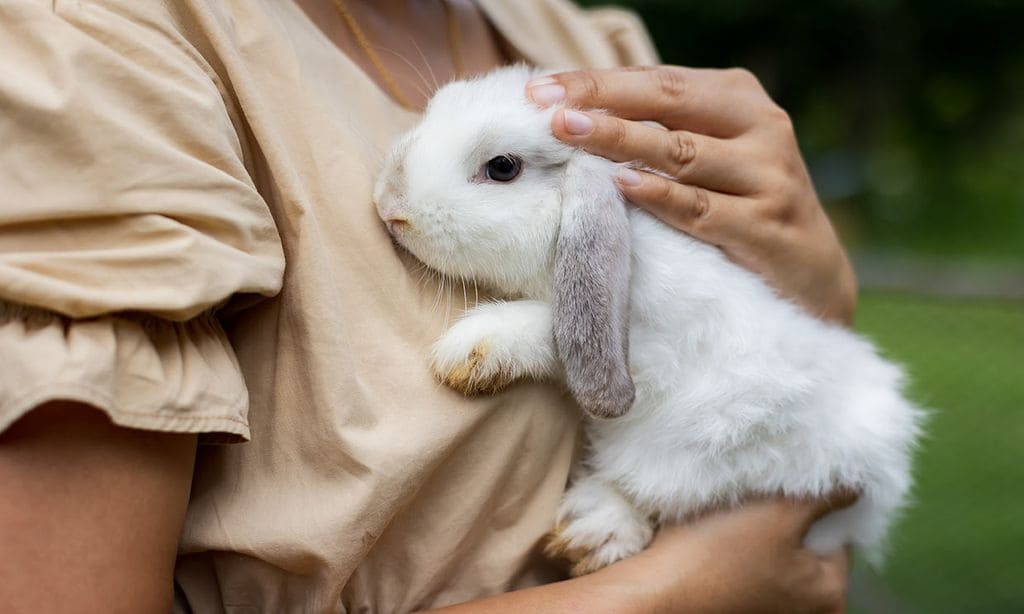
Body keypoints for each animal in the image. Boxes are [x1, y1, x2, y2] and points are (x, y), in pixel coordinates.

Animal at [372, 66, 925, 577]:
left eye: (502, 167)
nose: (390, 204)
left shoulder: (656, 344)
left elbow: (555, 328)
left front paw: (468, 351)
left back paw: (594, 530)